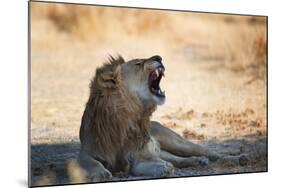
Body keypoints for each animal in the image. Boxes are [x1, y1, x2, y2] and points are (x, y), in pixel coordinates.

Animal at [77, 55, 244, 181]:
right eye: (138, 64)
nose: (159, 57)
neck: (127, 116)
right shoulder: (88, 151)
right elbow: (88, 162)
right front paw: (100, 172)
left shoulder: (141, 154)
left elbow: (147, 163)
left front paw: (162, 167)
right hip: (163, 150)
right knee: (177, 159)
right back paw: (198, 161)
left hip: (177, 142)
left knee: (210, 152)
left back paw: (237, 158)